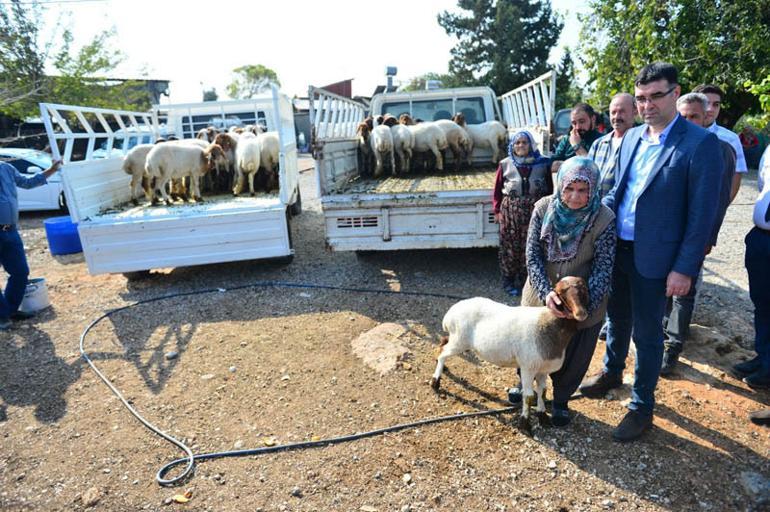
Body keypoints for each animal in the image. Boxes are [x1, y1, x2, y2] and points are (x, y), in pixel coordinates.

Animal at [432, 276, 588, 432]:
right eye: (561, 293)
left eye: (584, 290)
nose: (581, 313)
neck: (549, 325)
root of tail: (450, 313)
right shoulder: (528, 367)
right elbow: (528, 396)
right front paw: (525, 424)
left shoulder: (543, 369)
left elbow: (543, 392)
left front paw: (543, 417)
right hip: (460, 340)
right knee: (443, 353)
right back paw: (435, 381)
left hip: (456, 338)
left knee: (443, 344)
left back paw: (442, 368)